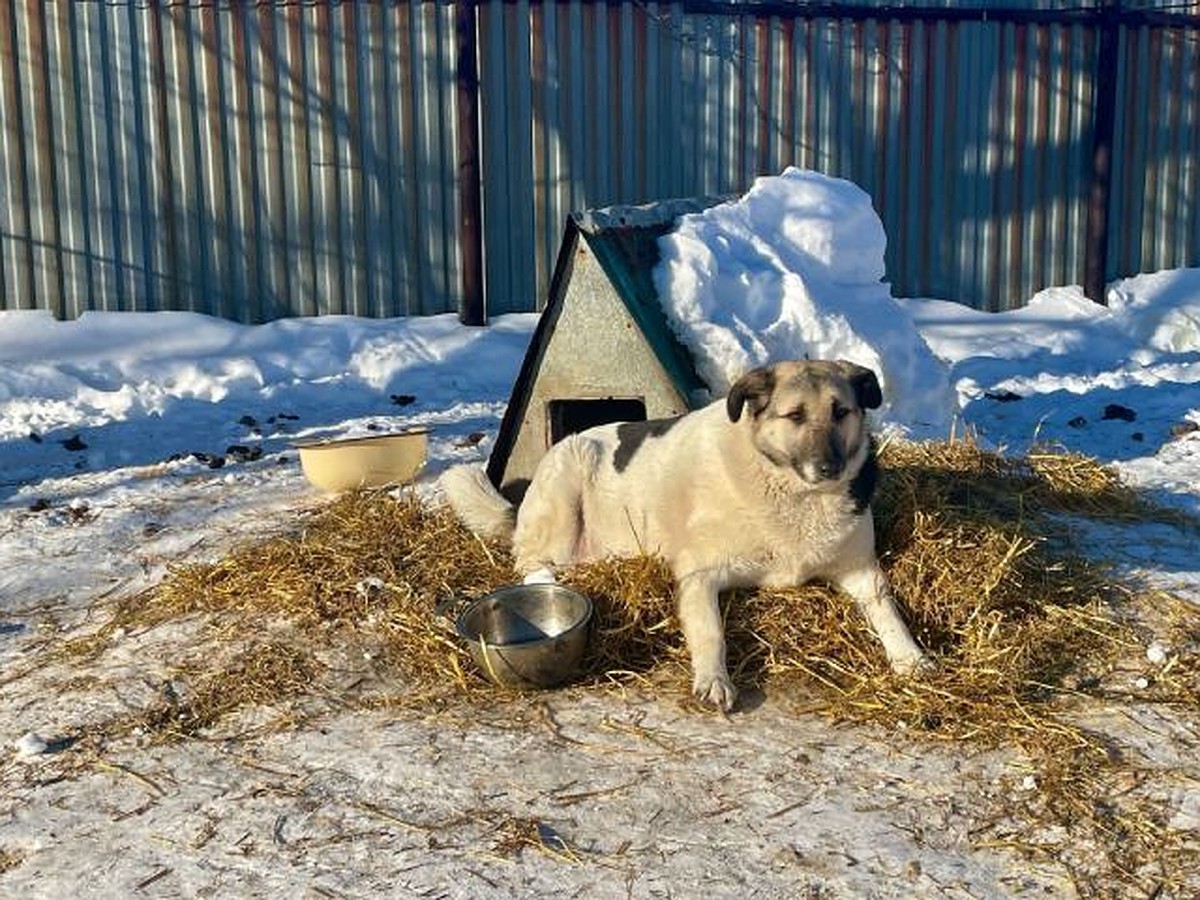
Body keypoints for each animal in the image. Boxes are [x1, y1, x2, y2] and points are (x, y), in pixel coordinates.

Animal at [441, 360, 926, 710]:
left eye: (841, 412)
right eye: (795, 416)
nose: (830, 468)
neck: (788, 490)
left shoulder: (861, 571)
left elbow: (887, 608)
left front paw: (911, 656)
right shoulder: (699, 576)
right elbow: (711, 630)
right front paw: (713, 678)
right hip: (567, 481)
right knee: (532, 566)